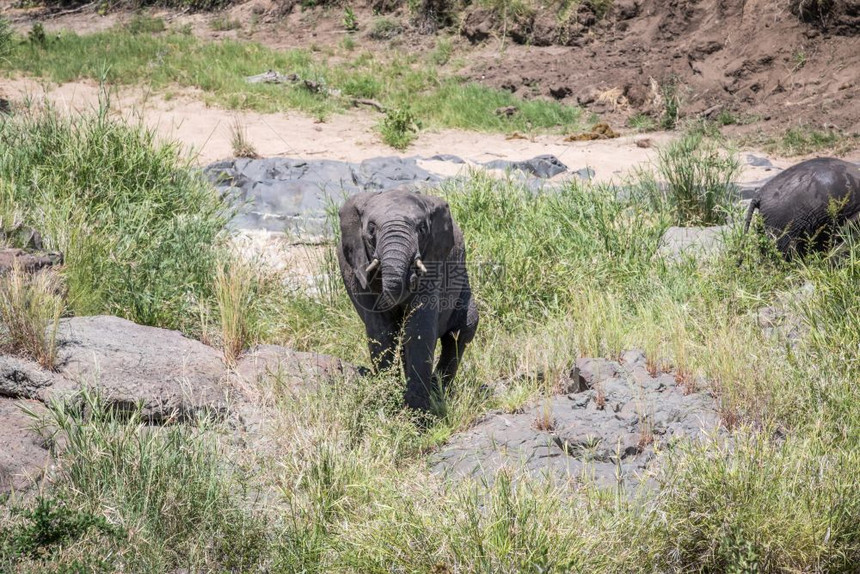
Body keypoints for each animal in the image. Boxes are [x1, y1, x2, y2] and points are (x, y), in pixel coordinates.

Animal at [338, 191, 484, 412]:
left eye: (422, 229)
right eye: (371, 229)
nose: (410, 276)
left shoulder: (434, 263)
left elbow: (419, 328)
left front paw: (417, 413)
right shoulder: (357, 268)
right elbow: (381, 331)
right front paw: (390, 401)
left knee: (463, 329)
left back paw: (438, 390)